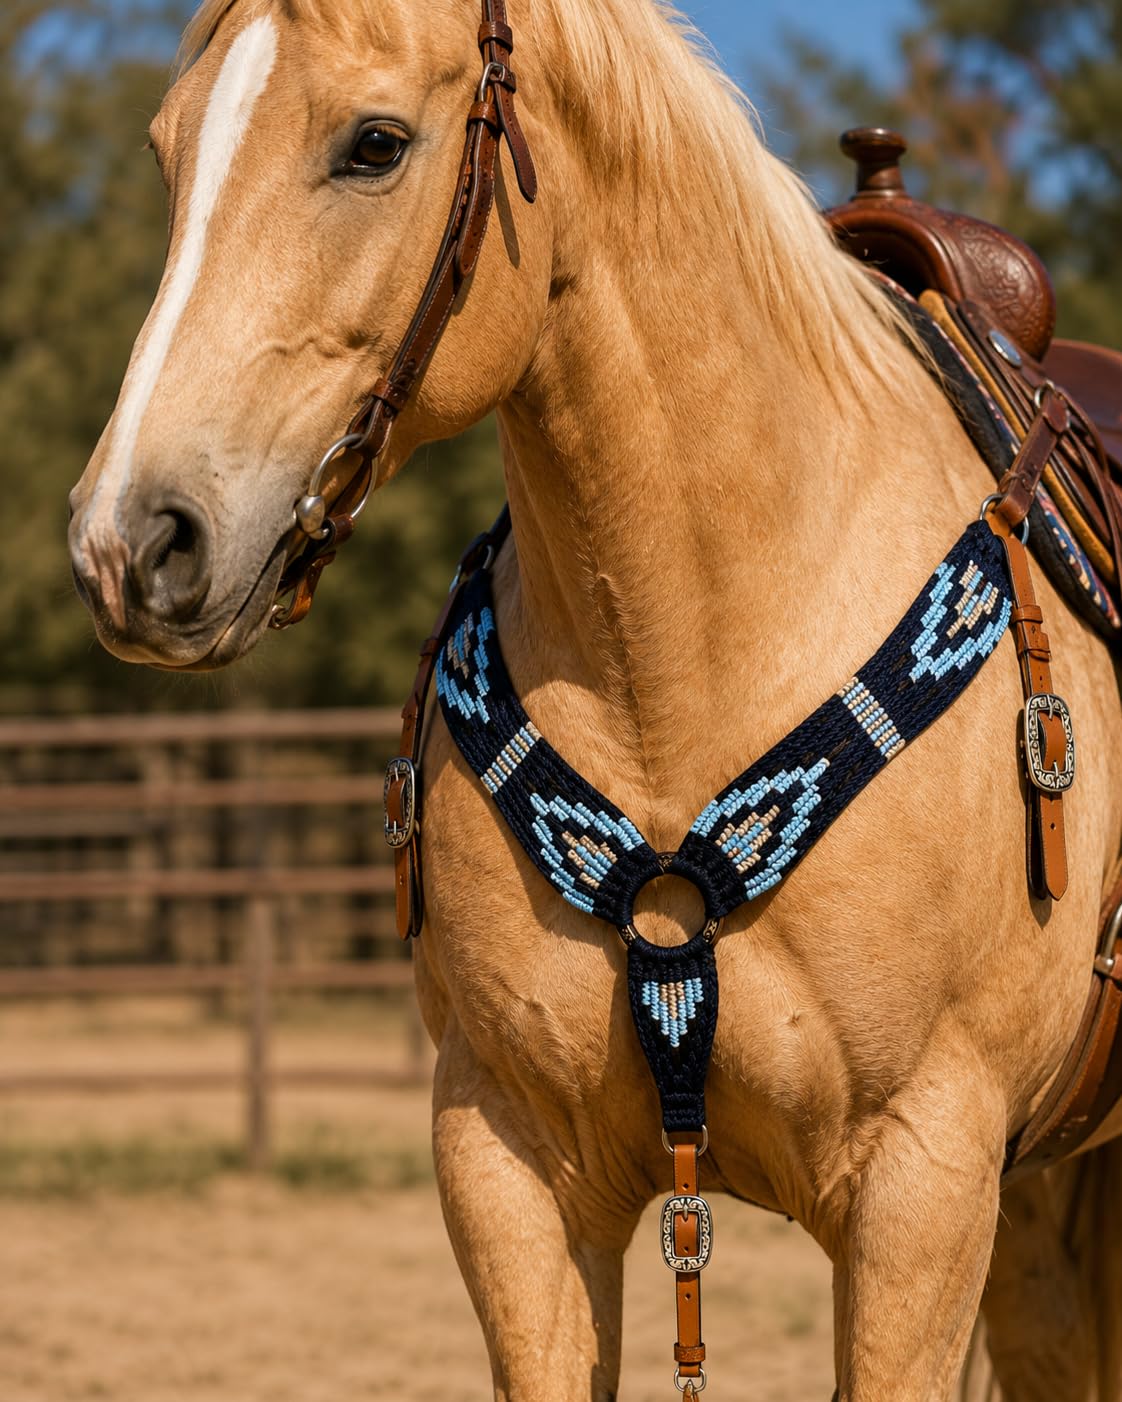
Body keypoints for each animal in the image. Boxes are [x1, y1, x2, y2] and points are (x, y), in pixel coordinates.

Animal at [66, 1, 1122, 1396]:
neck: (691, 661)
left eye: (375, 143)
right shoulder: (510, 1161)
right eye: (167, 152)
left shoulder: (926, 1182)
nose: (129, 543)